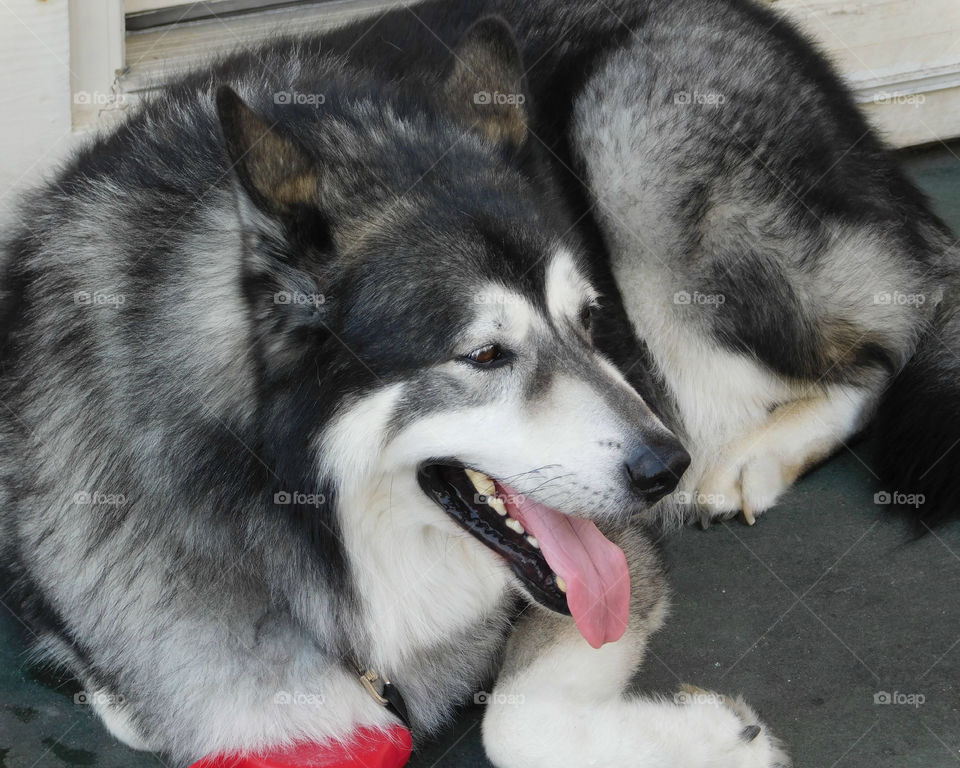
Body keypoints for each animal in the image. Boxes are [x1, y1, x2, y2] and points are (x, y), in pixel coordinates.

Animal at [0, 0, 956, 764]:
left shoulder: (620, 562)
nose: (663, 470)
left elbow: (512, 720)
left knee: (886, 341)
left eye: (588, 320)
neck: (308, 525)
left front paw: (713, 741)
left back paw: (747, 458)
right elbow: (149, 705)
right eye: (486, 356)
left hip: (634, 145)